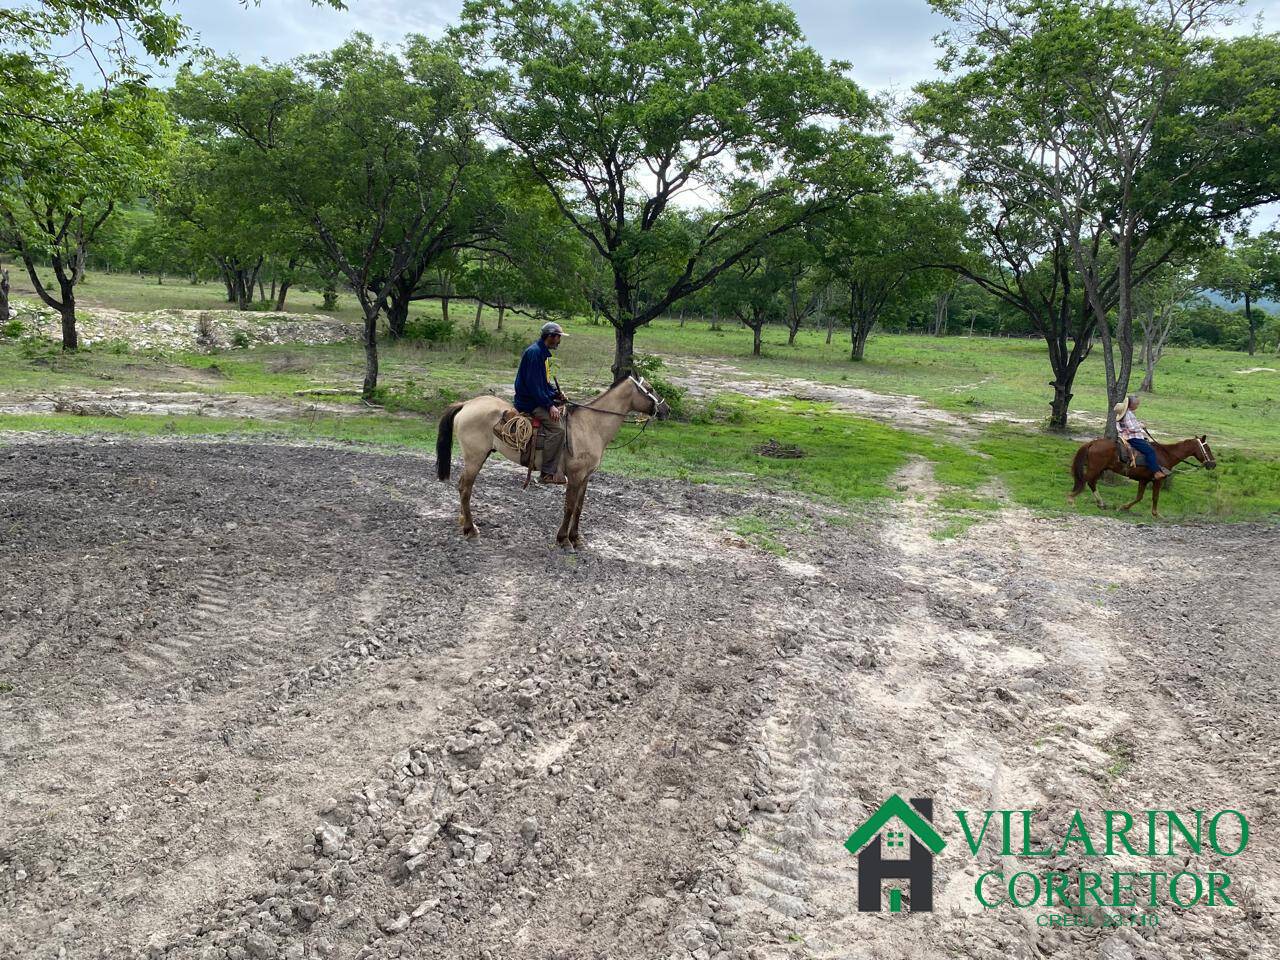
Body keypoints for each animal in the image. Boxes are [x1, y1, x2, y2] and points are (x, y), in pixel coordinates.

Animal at [435, 378, 670, 552]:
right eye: (650, 389)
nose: (666, 409)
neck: (590, 425)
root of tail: (467, 404)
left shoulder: (585, 477)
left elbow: (579, 508)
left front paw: (576, 539)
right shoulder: (575, 476)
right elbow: (569, 507)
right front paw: (564, 540)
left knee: (463, 487)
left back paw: (466, 524)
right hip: (475, 458)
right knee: (465, 488)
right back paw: (470, 530)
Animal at [1064, 435, 1213, 519]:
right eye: (1207, 449)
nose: (1213, 463)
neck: (1166, 455)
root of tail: (1092, 443)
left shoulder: (1144, 480)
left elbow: (1139, 497)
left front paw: (1123, 507)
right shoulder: (1157, 480)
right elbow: (1155, 497)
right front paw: (1156, 514)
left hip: (1100, 469)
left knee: (1091, 482)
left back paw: (1100, 503)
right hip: (1095, 468)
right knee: (1085, 481)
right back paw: (1071, 499)